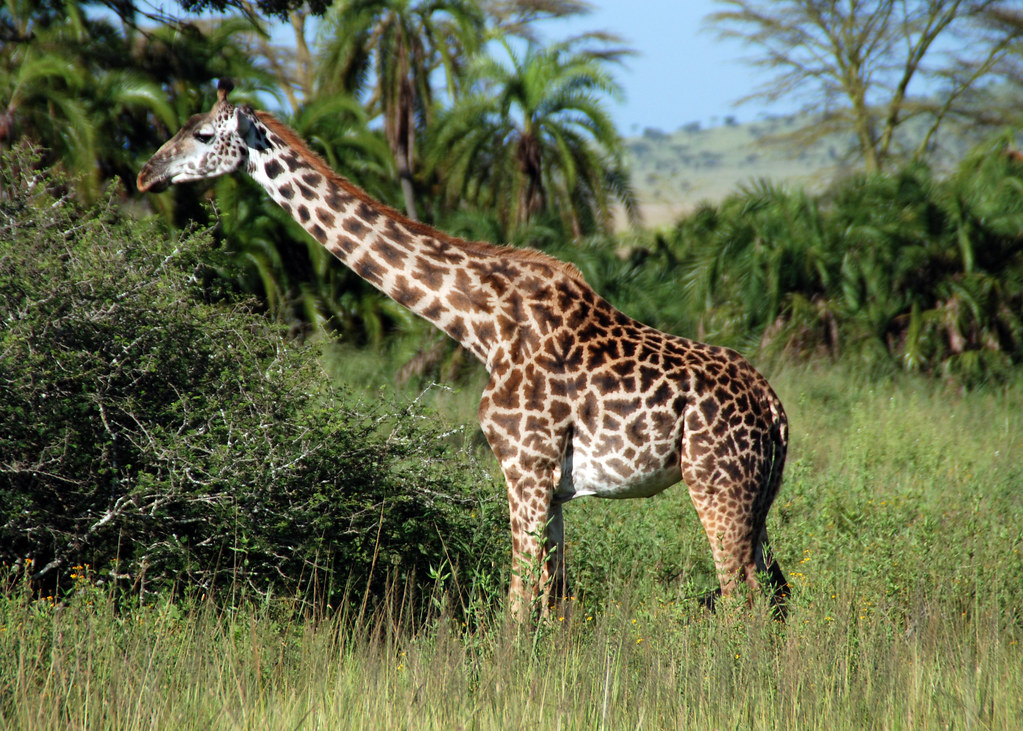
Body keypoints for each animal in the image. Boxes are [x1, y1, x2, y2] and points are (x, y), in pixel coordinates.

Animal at [137, 81, 790, 619]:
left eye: (202, 134)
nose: (145, 174)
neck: (481, 323)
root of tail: (775, 409)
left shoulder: (524, 466)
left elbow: (519, 602)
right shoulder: (549, 484)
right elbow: (551, 600)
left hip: (717, 483)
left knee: (743, 599)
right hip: (756, 498)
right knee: (776, 593)